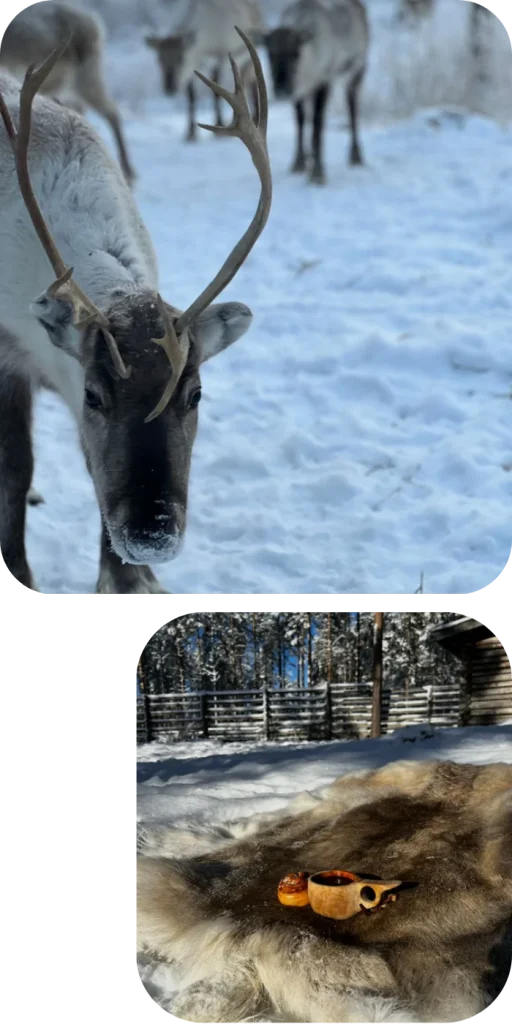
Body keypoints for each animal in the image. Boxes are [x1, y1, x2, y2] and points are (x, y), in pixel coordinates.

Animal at [0, 28, 272, 596]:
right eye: (94, 394)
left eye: (196, 393)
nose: (152, 537)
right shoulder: (7, 355)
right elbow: (15, 466)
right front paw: (16, 572)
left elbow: (92, 468)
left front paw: (129, 579)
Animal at [145, 0, 265, 142]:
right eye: (159, 60)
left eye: (181, 58)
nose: (169, 88)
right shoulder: (196, 65)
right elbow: (191, 96)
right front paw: (190, 132)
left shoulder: (220, 57)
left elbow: (216, 92)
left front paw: (218, 124)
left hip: (248, 56)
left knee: (251, 83)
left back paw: (253, 117)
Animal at [255, 0, 369, 184]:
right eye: (270, 54)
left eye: (295, 54)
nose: (281, 90)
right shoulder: (299, 91)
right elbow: (300, 122)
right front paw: (299, 162)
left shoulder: (323, 81)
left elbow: (317, 124)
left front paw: (318, 172)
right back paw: (309, 156)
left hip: (358, 69)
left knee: (352, 107)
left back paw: (356, 156)